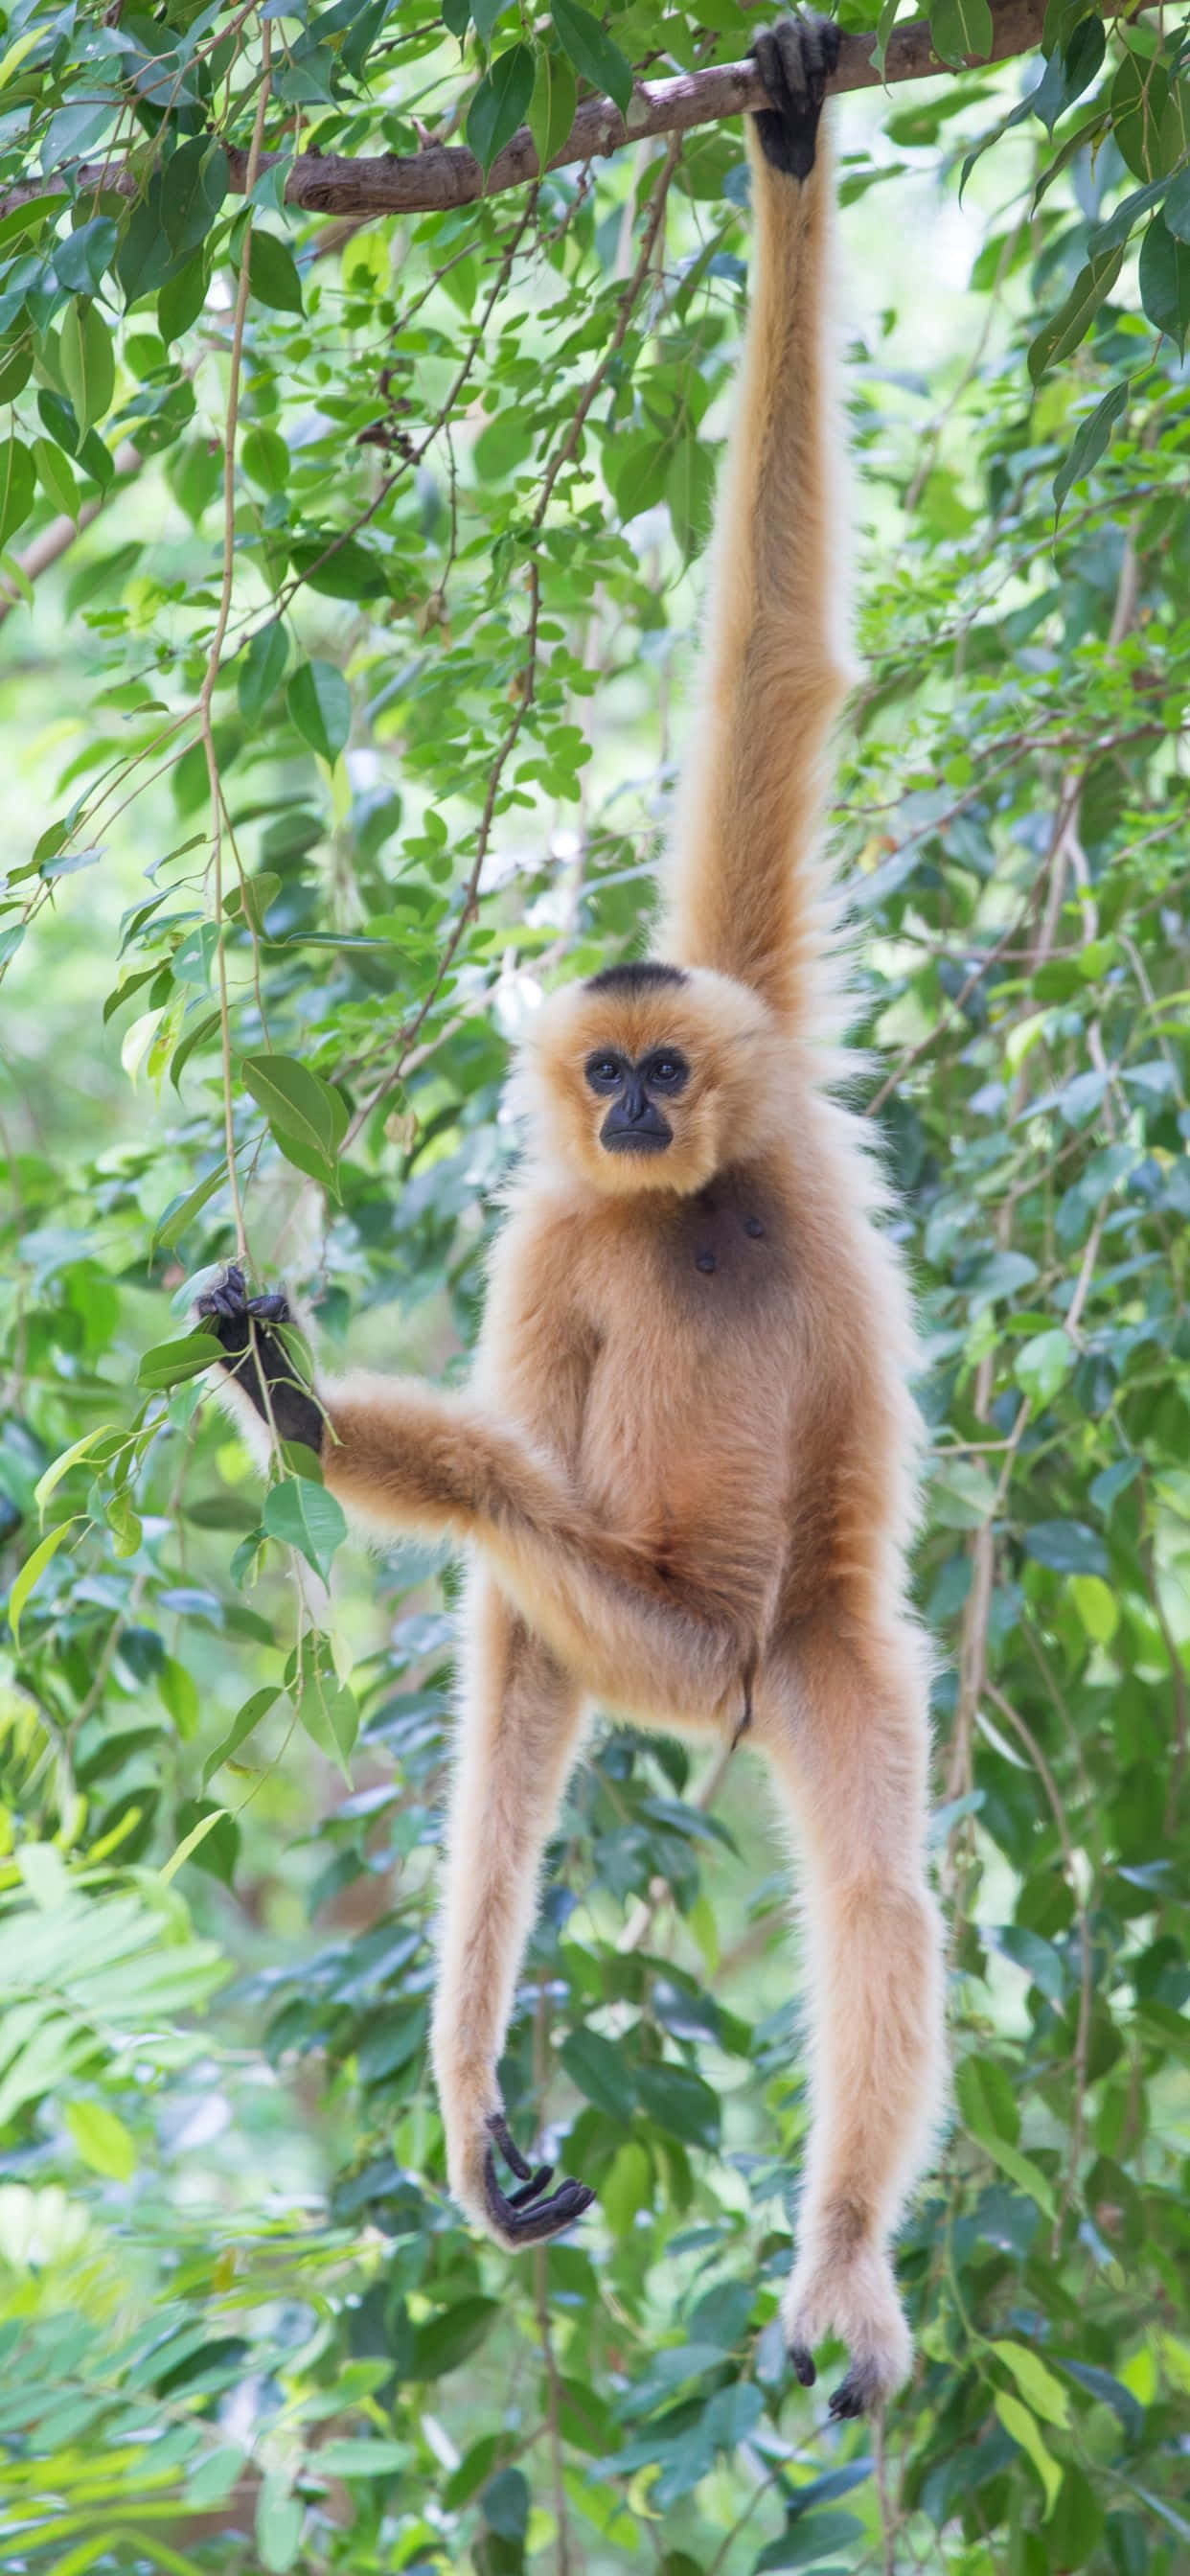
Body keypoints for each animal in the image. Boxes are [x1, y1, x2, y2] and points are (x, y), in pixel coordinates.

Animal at [195, 15, 946, 2420]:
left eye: (659, 1069)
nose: (621, 1104)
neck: (694, 1200)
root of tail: (739, 1684)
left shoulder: (766, 1031)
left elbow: (777, 668)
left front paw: (787, 139)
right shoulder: (556, 1238)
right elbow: (511, 1617)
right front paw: (461, 2092)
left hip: (819, 1644)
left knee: (879, 1906)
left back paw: (842, 2255)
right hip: (678, 1637)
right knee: (525, 1531)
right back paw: (303, 1415)